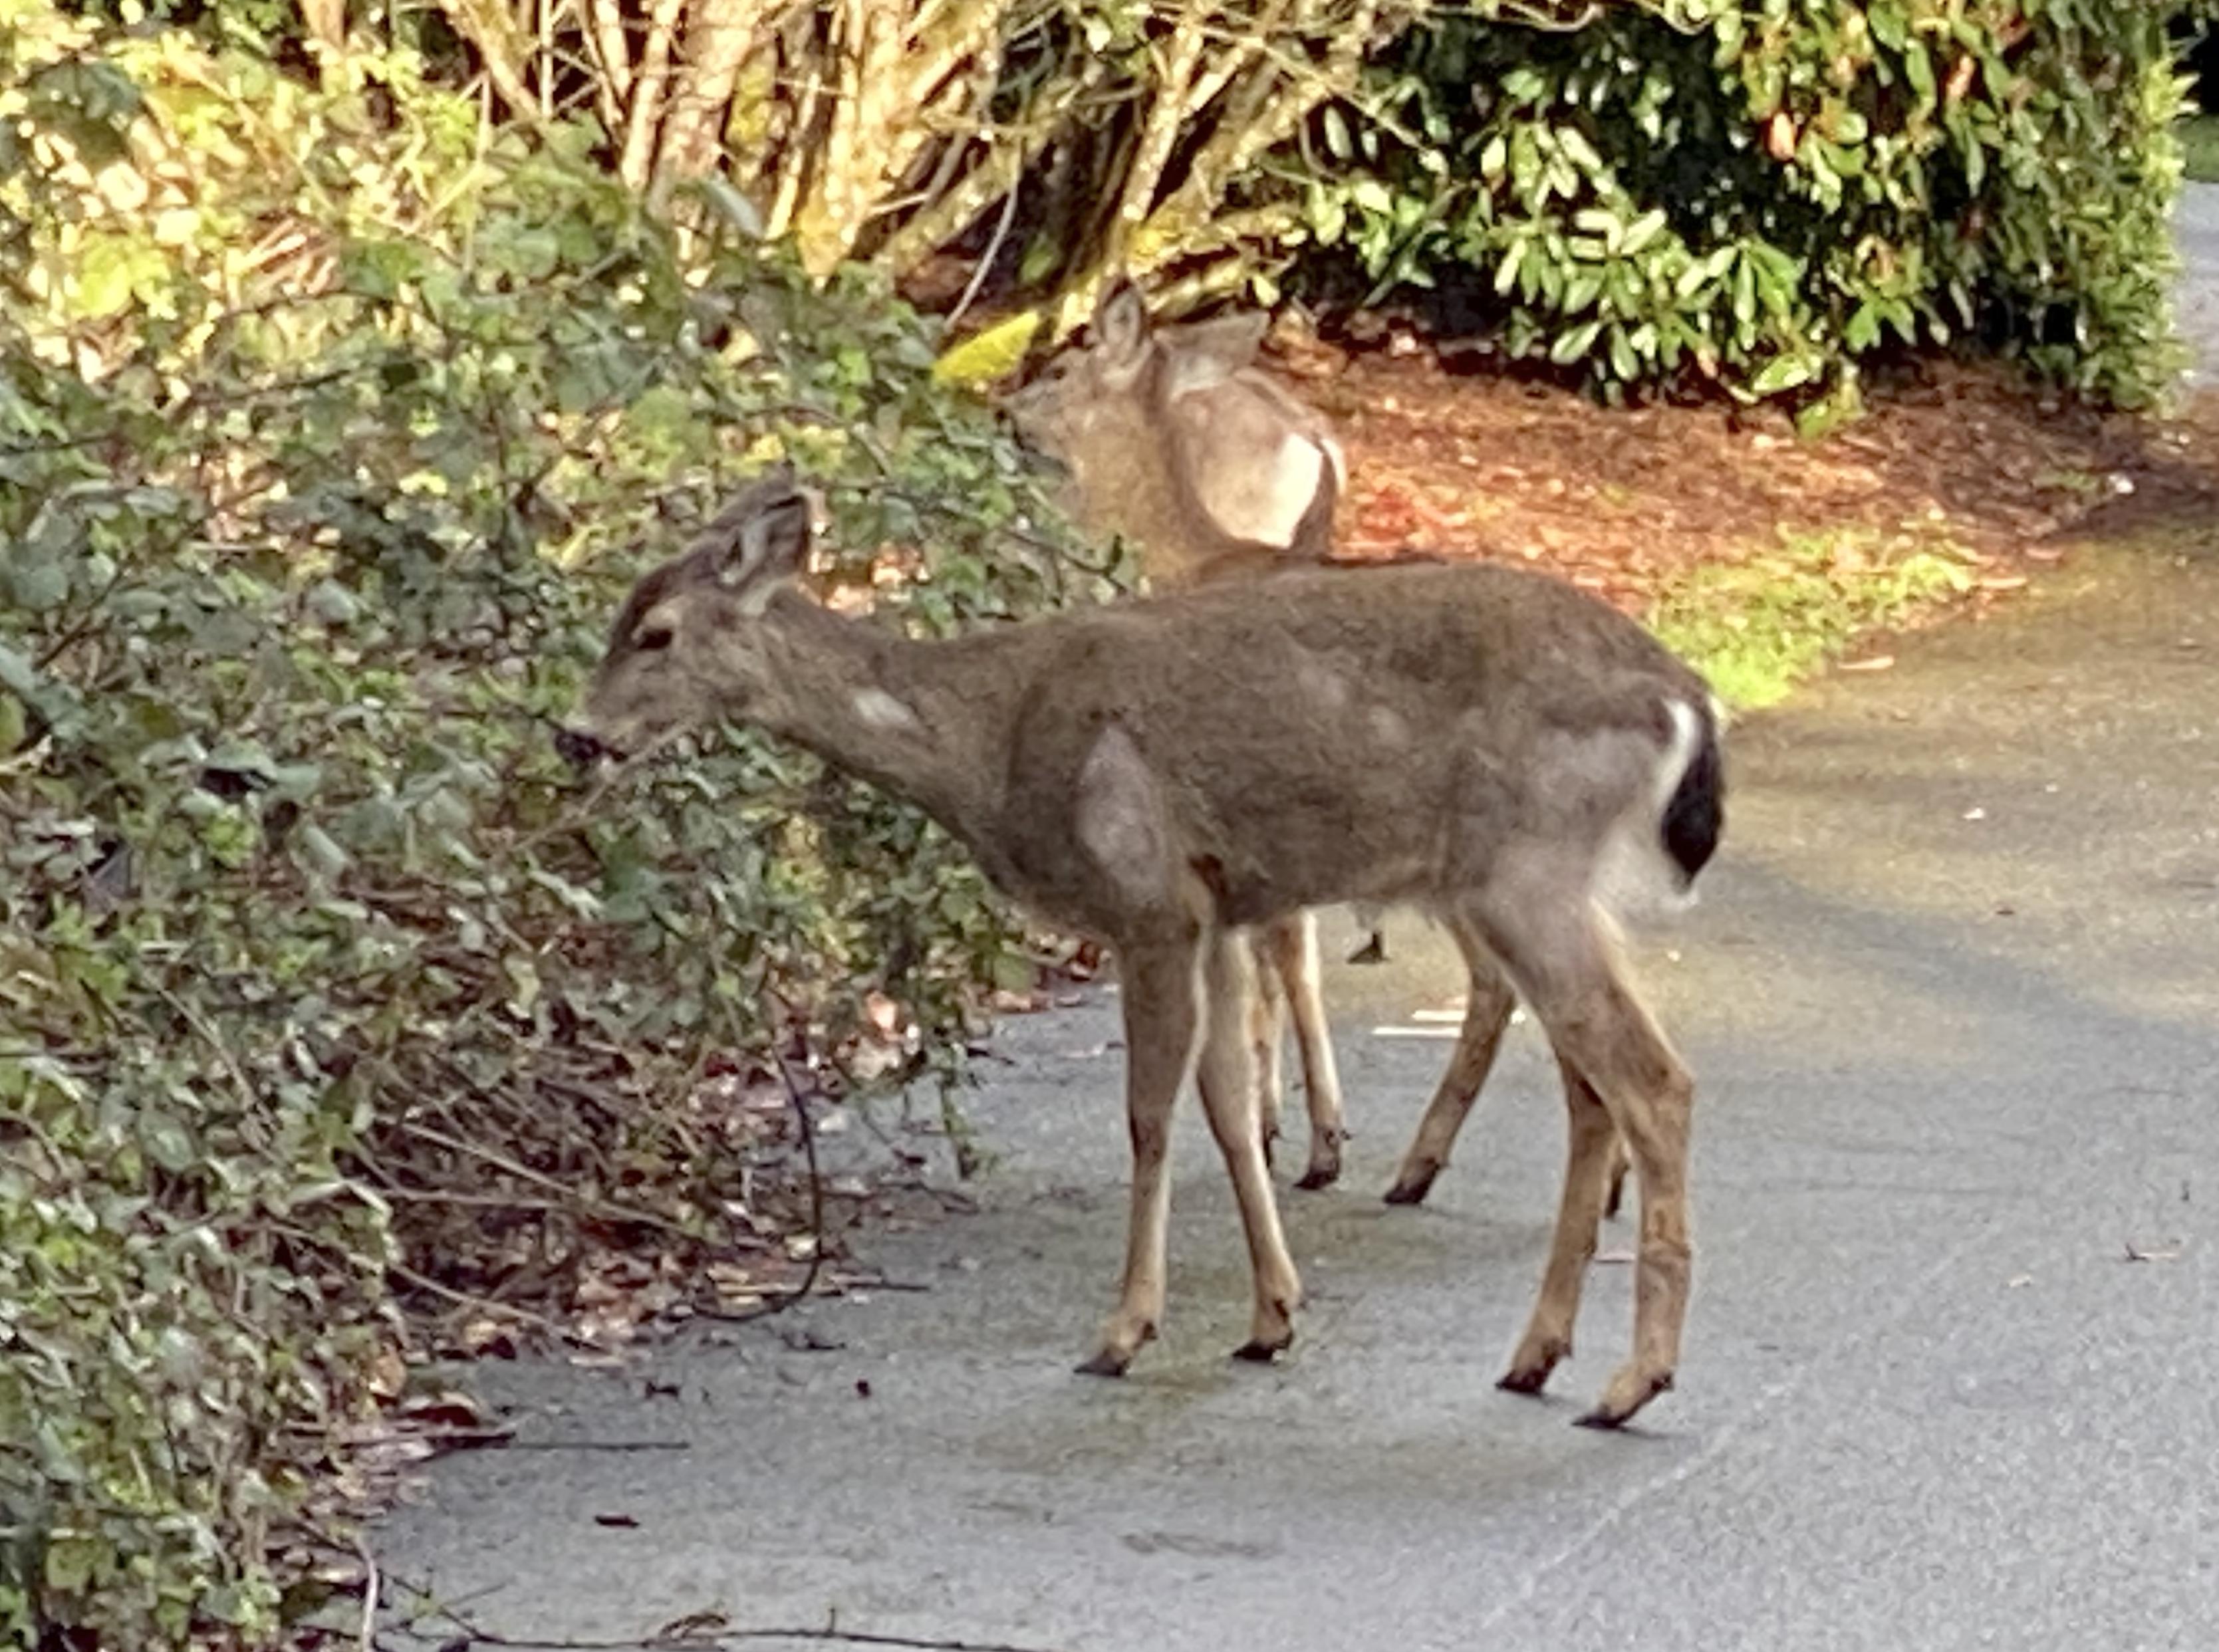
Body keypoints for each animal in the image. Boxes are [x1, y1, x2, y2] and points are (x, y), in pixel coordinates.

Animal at [560, 467, 1725, 1429]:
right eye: (618, 619)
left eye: (655, 631)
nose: (575, 736)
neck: (985, 742)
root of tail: (1684, 698)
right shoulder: (1210, 908)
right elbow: (1226, 1107)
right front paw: (1271, 1316)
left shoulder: (1148, 898)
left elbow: (1150, 1114)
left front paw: (1122, 1333)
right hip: (1526, 886)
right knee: (1592, 1090)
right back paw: (1536, 1356)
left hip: (1524, 872)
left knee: (1653, 1079)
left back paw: (1630, 1382)